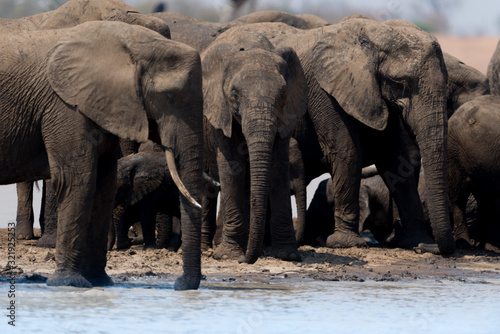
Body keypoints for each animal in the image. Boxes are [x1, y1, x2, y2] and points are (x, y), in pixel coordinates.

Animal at [200, 29, 308, 264]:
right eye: (234, 95)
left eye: (283, 94)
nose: (245, 260)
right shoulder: (219, 110)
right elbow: (232, 167)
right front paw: (228, 255)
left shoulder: (285, 114)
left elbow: (277, 166)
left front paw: (288, 255)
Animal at [229, 17, 456, 254]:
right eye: (400, 83)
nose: (429, 249)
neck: (372, 33)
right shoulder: (323, 90)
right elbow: (347, 151)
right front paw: (347, 243)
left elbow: (395, 158)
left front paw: (416, 241)